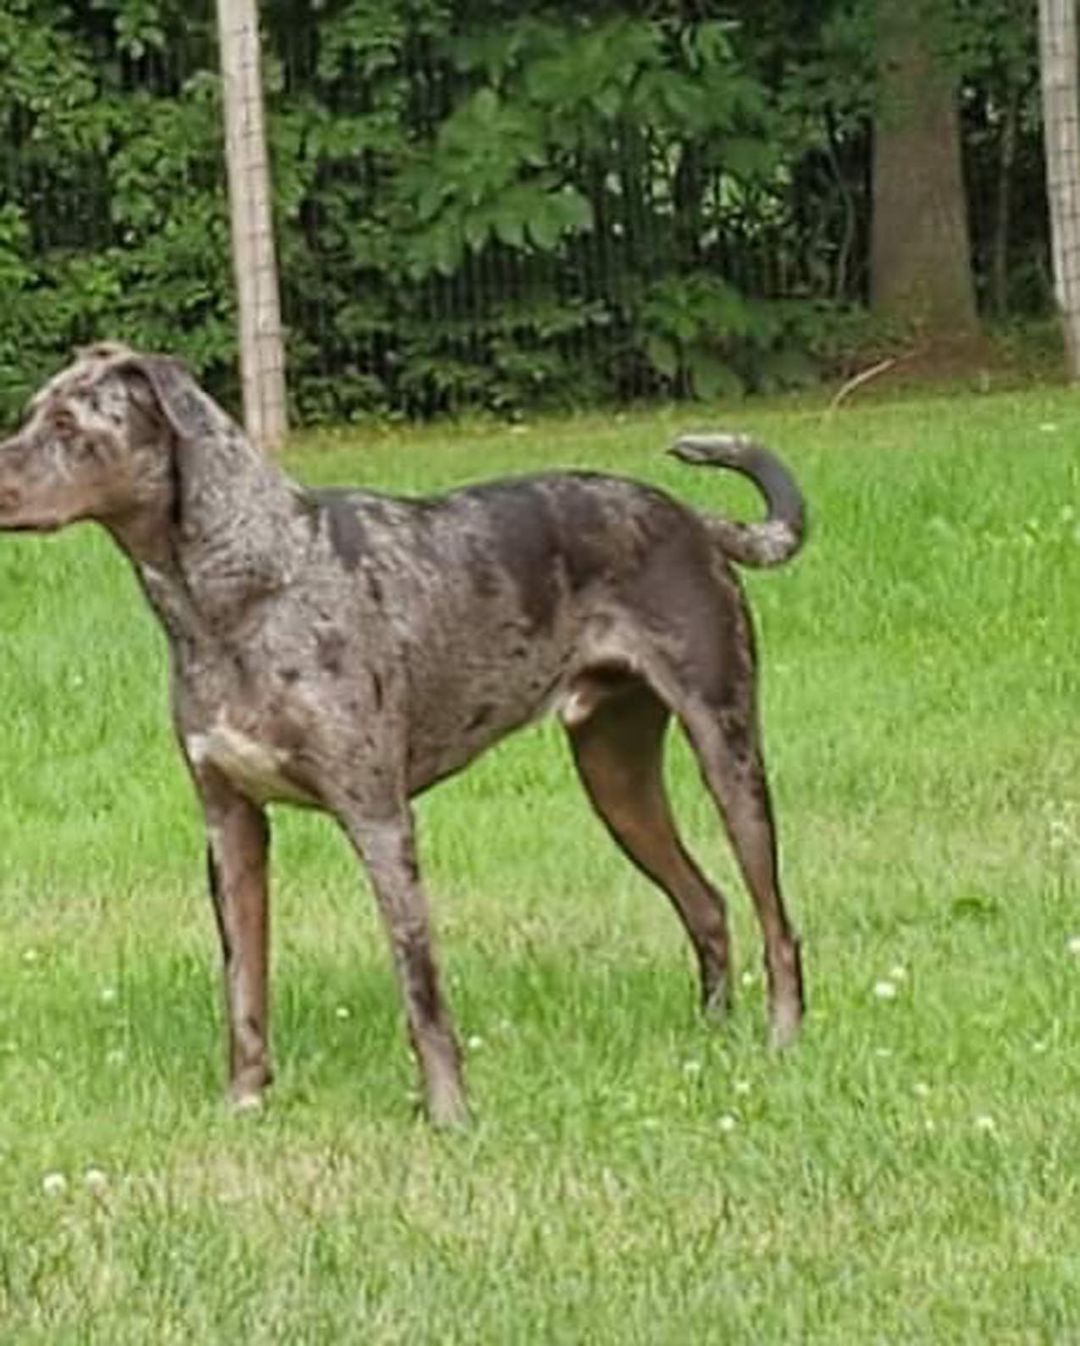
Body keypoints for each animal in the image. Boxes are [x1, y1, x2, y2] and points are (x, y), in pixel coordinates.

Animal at [0, 347, 807, 1125]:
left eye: (70, 425)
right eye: (32, 412)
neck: (244, 588)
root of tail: (693, 518)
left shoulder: (379, 819)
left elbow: (420, 986)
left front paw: (450, 1116)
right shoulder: (230, 824)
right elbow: (244, 987)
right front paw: (245, 1102)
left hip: (727, 751)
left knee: (774, 918)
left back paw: (782, 1039)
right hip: (617, 777)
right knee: (707, 903)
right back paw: (712, 1035)